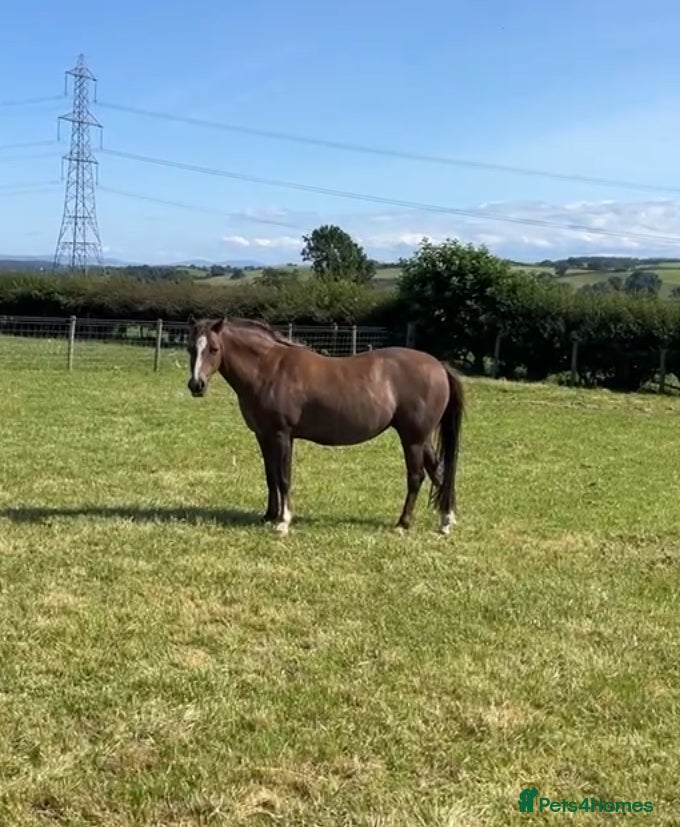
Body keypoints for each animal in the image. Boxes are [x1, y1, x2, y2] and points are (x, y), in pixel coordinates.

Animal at [185, 315, 465, 536]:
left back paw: (403, 523)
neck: (268, 368)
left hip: (413, 438)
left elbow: (284, 477)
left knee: (416, 477)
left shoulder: (282, 435)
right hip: (422, 438)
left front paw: (283, 522)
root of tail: (439, 366)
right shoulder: (263, 436)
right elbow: (270, 476)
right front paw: (269, 516)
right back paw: (445, 522)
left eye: (214, 349)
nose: (196, 385)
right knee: (438, 472)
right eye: (191, 349)